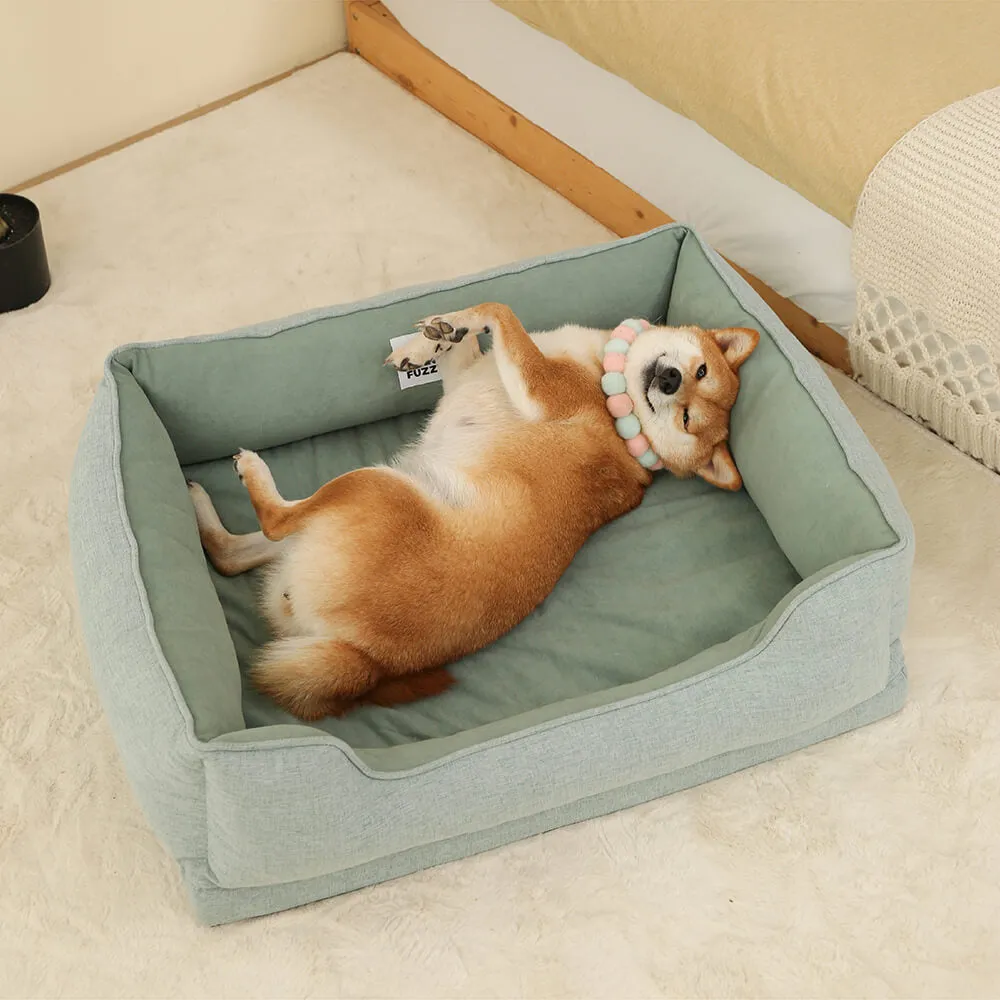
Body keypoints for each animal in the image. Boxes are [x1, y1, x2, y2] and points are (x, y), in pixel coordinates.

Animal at [186, 302, 756, 720]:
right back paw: (200, 507)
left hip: (373, 487)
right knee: (231, 555)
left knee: (275, 520)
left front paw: (455, 323)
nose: (669, 382)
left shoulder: (542, 389)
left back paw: (253, 472)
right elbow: (471, 344)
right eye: (699, 371)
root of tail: (368, 661)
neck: (619, 404)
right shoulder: (470, 377)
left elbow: (500, 311)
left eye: (686, 418)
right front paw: (433, 339)